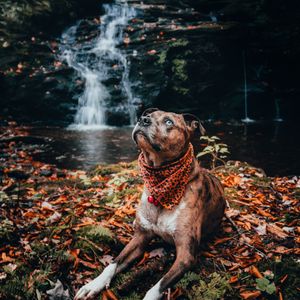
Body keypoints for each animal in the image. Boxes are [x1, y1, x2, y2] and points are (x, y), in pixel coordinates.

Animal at [74, 109, 225, 300]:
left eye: (168, 122)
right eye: (149, 115)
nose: (142, 119)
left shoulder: (186, 255)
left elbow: (159, 285)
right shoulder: (140, 238)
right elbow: (113, 264)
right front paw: (93, 285)